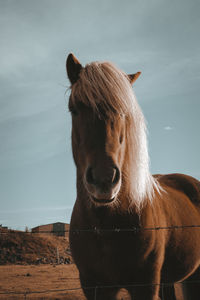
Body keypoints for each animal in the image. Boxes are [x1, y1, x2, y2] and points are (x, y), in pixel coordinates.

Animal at [65, 54, 200, 300]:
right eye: (74, 109)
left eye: (123, 113)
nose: (104, 179)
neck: (107, 227)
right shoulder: (94, 287)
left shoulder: (145, 285)